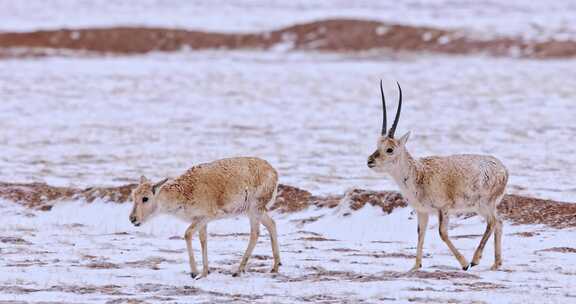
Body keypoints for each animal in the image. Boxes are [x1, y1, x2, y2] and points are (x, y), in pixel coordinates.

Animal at [131, 158, 284, 280]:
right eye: (133, 195)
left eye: (145, 198)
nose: (132, 218)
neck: (184, 193)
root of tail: (274, 172)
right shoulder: (200, 220)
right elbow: (203, 240)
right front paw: (204, 272)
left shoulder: (206, 216)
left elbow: (187, 234)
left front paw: (194, 272)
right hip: (255, 211)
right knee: (272, 224)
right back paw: (275, 266)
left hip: (255, 209)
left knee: (255, 233)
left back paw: (238, 270)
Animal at [368, 81, 508, 270]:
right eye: (377, 145)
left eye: (389, 149)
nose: (369, 161)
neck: (419, 174)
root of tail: (503, 169)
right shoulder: (422, 212)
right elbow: (420, 233)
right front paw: (415, 266)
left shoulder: (443, 208)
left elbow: (442, 233)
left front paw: (464, 264)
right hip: (485, 206)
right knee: (499, 222)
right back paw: (496, 264)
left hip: (484, 204)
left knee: (492, 222)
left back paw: (475, 260)